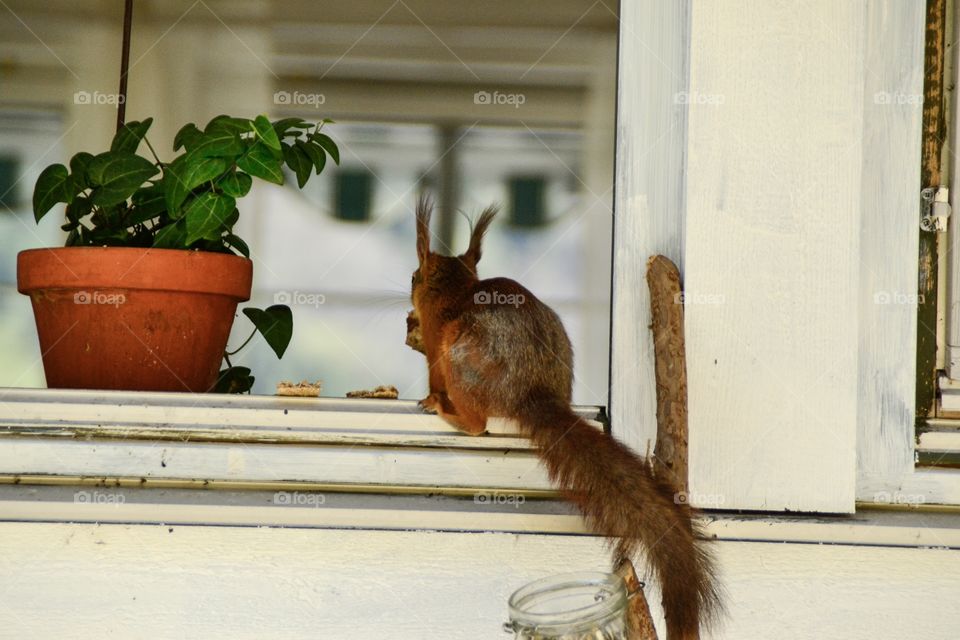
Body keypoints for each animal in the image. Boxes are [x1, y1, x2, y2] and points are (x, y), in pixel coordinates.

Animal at [406, 198, 720, 636]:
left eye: (413, 276)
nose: (409, 301)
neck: (456, 292)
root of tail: (531, 393)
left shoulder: (438, 344)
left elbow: (433, 373)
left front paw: (429, 391)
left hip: (459, 361)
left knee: (478, 426)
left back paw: (449, 413)